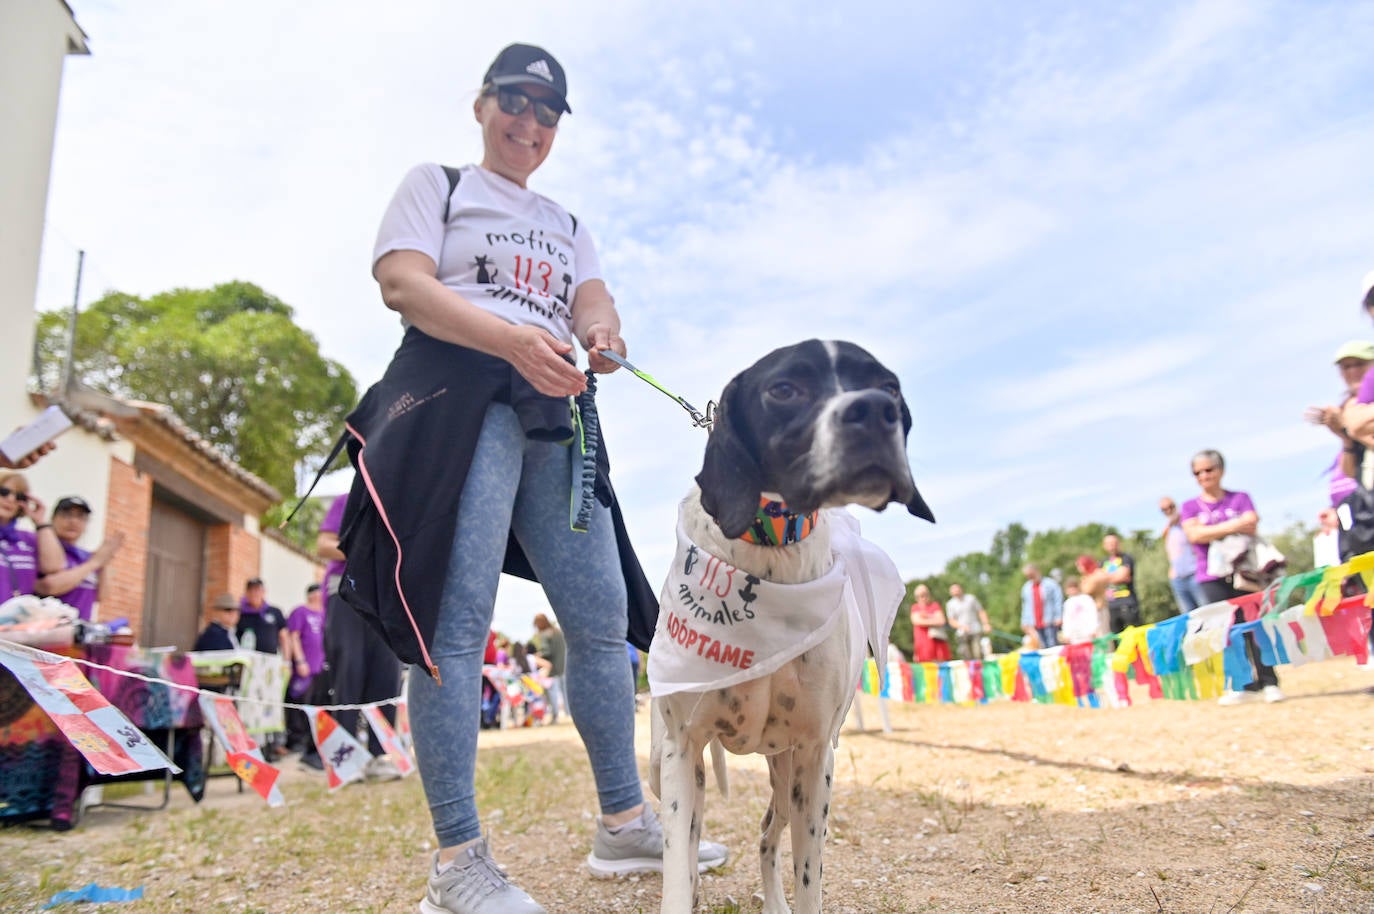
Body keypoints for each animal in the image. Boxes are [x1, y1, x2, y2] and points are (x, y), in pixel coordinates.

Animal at [645, 338, 934, 907]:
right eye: (784, 389)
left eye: (889, 387)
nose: (875, 410)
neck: (768, 542)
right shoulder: (682, 751)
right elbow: (676, 881)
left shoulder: (815, 758)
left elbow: (808, 882)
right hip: (666, 768)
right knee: (689, 849)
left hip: (786, 778)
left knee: (764, 836)